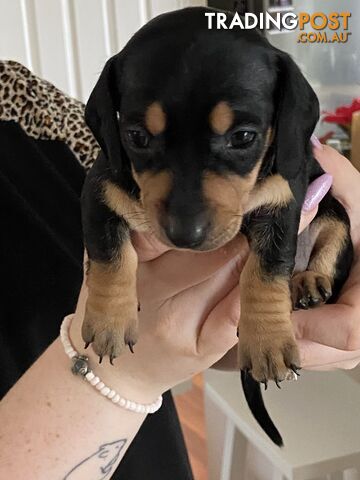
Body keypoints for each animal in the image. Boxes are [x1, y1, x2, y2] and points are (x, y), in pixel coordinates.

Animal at [81, 6, 352, 446]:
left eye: (242, 137)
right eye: (136, 136)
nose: (183, 235)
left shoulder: (286, 199)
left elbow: (266, 270)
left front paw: (267, 341)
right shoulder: (98, 190)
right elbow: (108, 255)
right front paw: (109, 320)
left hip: (333, 212)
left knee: (331, 245)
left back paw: (310, 281)